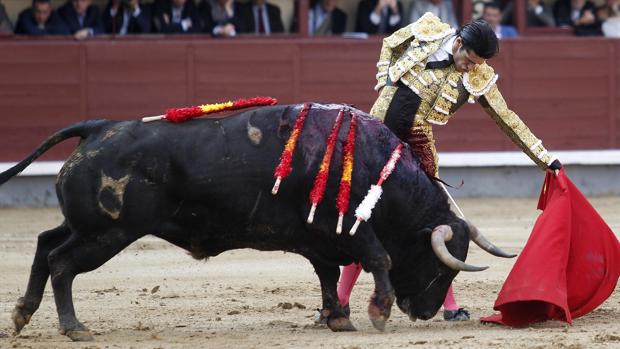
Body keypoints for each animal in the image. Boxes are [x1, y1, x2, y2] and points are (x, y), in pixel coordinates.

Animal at [1, 102, 512, 340]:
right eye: (439, 266)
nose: (425, 312)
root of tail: (98, 127)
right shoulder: (349, 226)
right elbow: (379, 257)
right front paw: (377, 313)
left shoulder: (320, 237)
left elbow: (328, 273)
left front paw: (337, 318)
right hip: (109, 232)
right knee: (62, 262)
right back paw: (74, 326)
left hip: (88, 226)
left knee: (45, 244)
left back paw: (23, 313)